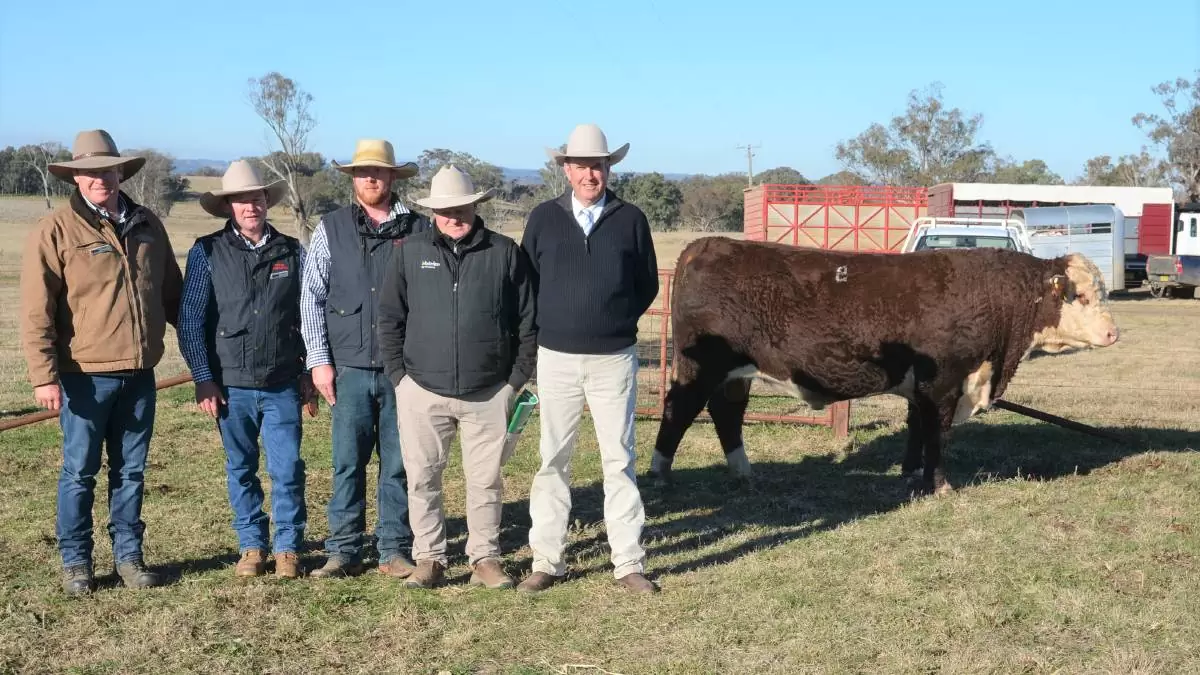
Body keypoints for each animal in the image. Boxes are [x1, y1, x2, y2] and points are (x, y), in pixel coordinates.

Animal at [649, 236, 1120, 495]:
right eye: (1080, 296)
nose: (1114, 333)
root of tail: (707, 245)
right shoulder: (945, 382)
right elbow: (937, 434)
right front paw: (940, 484)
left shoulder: (922, 386)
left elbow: (917, 428)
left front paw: (911, 475)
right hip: (700, 368)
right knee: (679, 410)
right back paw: (659, 475)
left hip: (735, 374)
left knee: (726, 413)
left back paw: (743, 473)